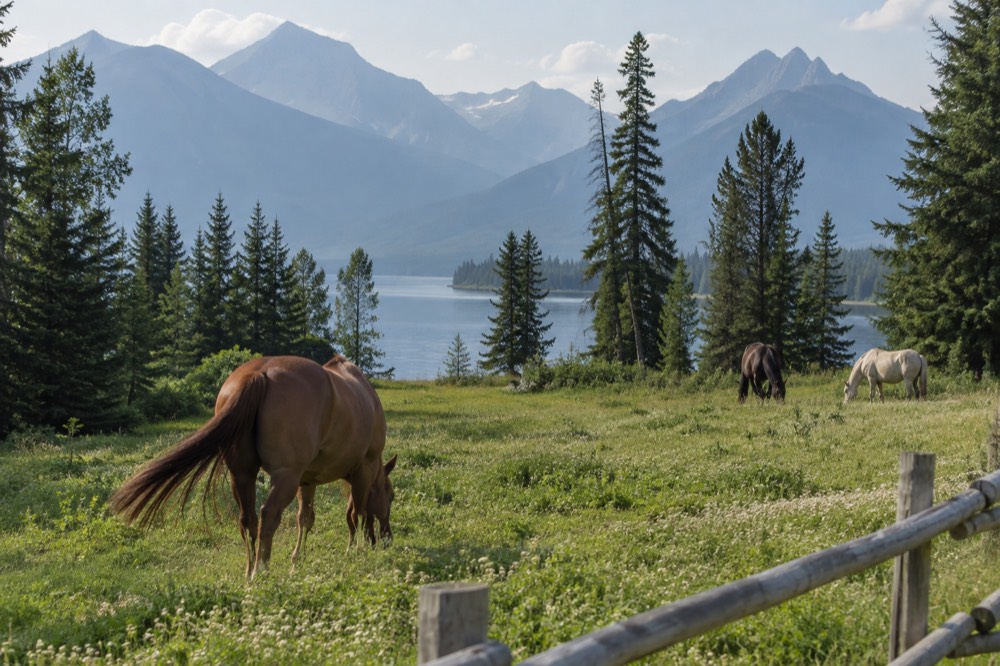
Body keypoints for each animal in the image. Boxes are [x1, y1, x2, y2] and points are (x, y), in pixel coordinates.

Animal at [109, 354, 396, 580]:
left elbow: (306, 518)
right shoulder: (363, 469)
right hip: (284, 477)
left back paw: (250, 572)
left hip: (243, 474)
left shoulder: (307, 479)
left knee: (248, 519)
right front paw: (357, 550)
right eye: (391, 496)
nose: (387, 538)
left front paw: (298, 559)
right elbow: (357, 513)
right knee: (268, 515)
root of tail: (259, 374)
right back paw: (262, 571)